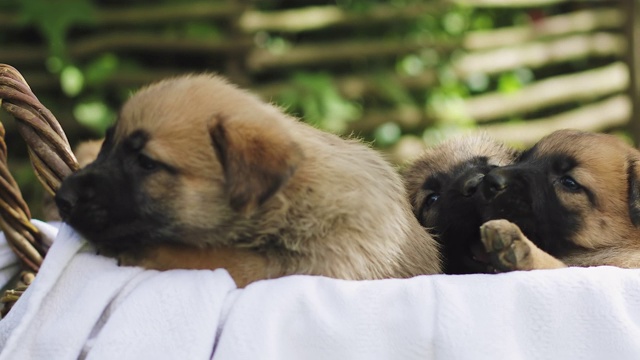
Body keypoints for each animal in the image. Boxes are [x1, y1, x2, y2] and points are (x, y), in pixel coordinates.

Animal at [55, 74, 442, 286]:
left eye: (146, 163)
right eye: (106, 145)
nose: (62, 198)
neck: (290, 200)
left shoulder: (311, 266)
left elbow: (222, 259)